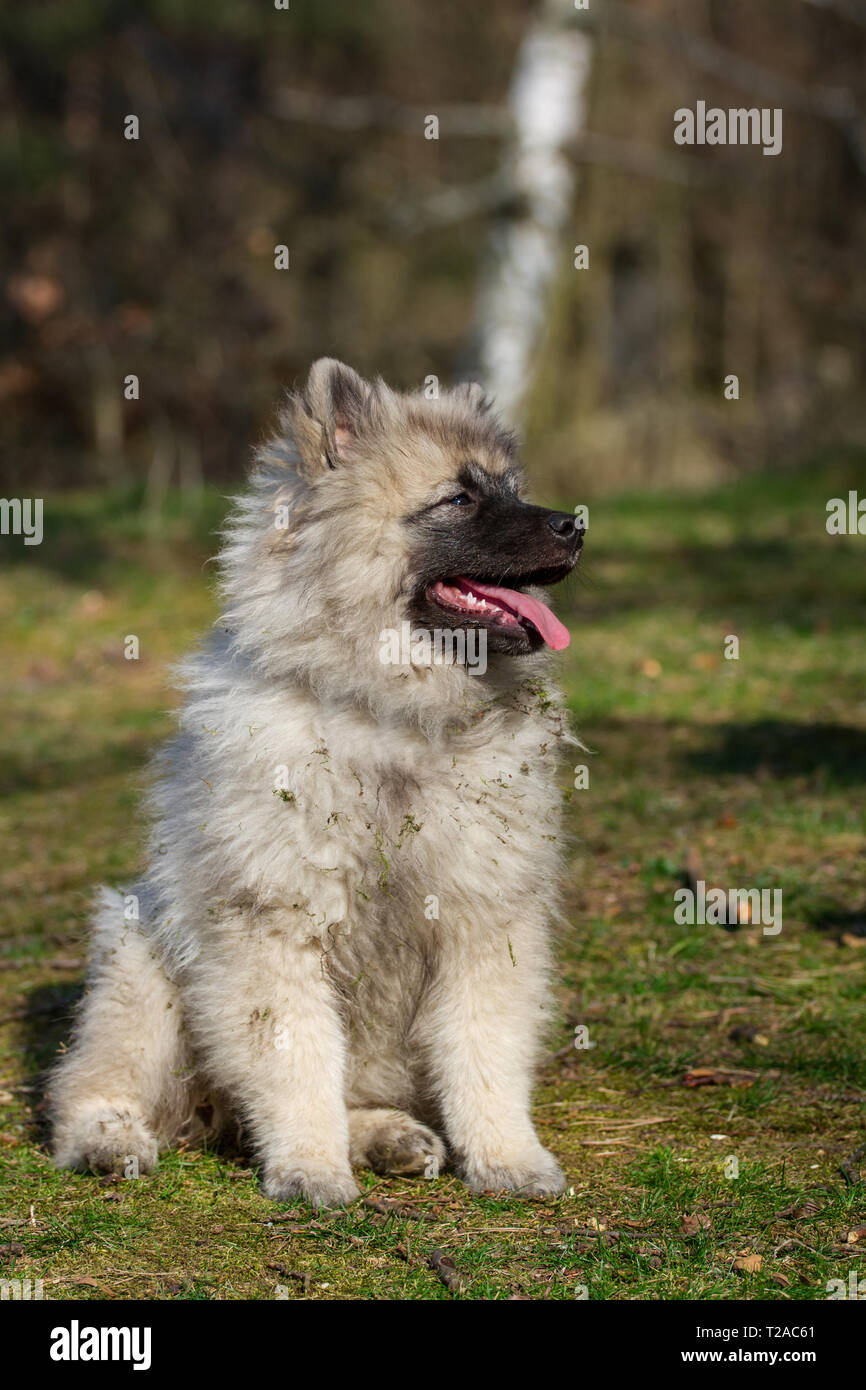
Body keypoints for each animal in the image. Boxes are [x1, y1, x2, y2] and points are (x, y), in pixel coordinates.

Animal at [50, 358, 586, 1206]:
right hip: (140, 961)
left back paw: (388, 1136)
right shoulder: (275, 927)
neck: (394, 713)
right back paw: (110, 1140)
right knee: (92, 1085)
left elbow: (484, 1053)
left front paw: (507, 1157)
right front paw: (309, 1166)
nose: (576, 525)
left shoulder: (485, 922)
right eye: (460, 499)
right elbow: (297, 1058)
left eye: (512, 488)